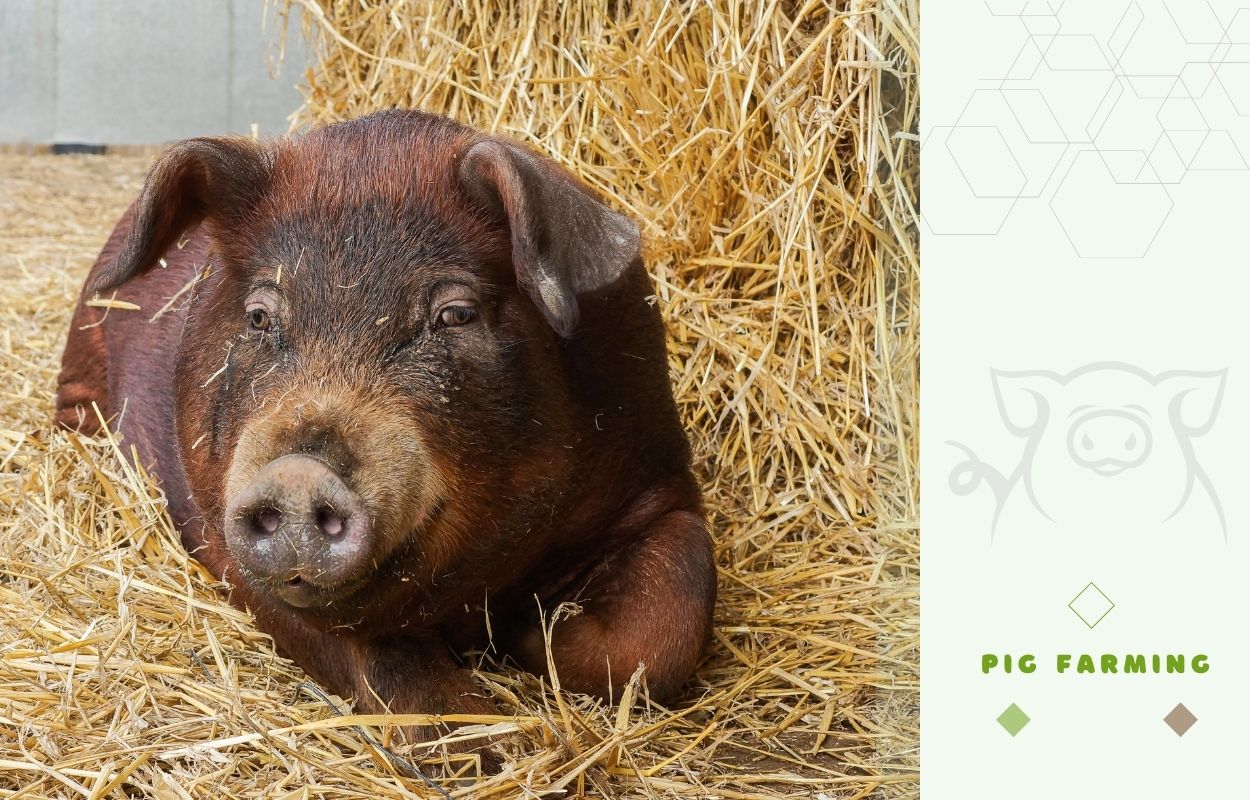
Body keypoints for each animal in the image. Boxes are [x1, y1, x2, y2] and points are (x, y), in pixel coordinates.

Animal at [53, 109, 720, 755]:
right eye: (259, 315)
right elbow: (367, 650)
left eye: (456, 313)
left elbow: (669, 615)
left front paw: (534, 633)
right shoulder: (222, 533)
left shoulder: (660, 482)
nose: (297, 473)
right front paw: (481, 746)